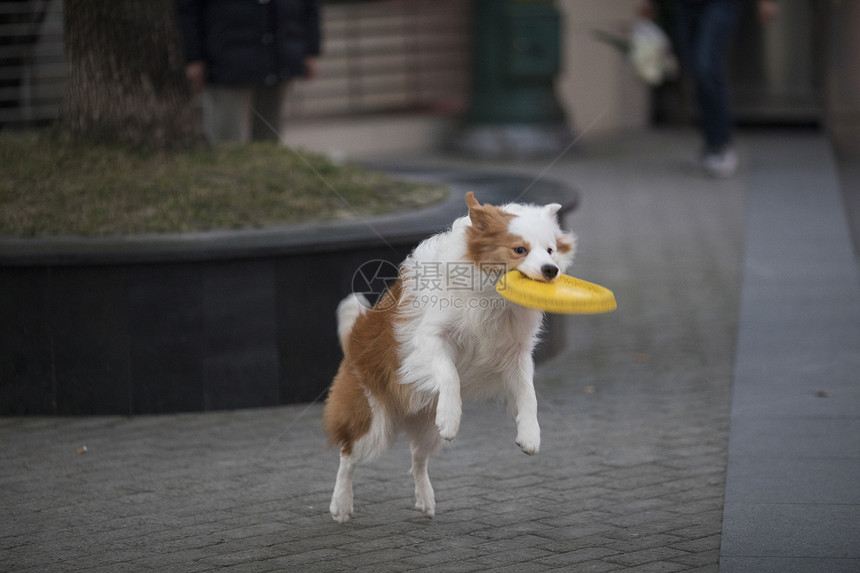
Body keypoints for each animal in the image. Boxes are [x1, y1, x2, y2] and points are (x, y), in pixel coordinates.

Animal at [320, 192, 576, 524]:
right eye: (519, 249)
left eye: (550, 249)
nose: (550, 270)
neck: (492, 294)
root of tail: (353, 341)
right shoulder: (429, 340)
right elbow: (449, 374)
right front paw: (452, 416)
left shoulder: (516, 355)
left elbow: (528, 396)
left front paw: (530, 435)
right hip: (373, 423)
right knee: (348, 455)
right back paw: (341, 504)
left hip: (428, 429)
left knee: (417, 458)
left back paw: (425, 500)